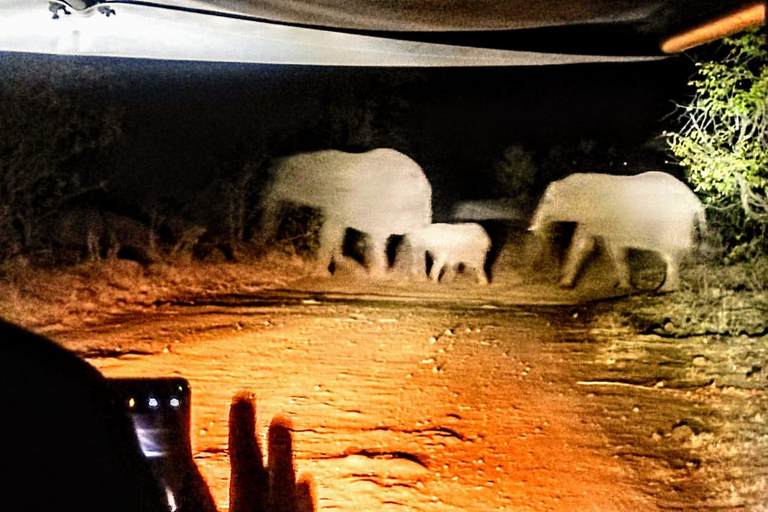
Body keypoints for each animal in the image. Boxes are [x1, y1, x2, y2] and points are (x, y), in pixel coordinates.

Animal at [256, 149, 432, 276]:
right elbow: (337, 233)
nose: (262, 250)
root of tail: (421, 183)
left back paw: (379, 275)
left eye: (272, 181)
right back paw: (412, 276)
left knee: (380, 236)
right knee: (414, 238)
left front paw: (321, 273)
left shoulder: (336, 201)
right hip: (420, 211)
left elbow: (330, 232)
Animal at [532, 172, 704, 290]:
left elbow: (613, 249)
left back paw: (665, 289)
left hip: (673, 224)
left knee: (670, 255)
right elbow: (582, 244)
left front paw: (622, 287)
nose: (533, 229)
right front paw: (565, 285)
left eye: (548, 201)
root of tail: (696, 202)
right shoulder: (591, 220)